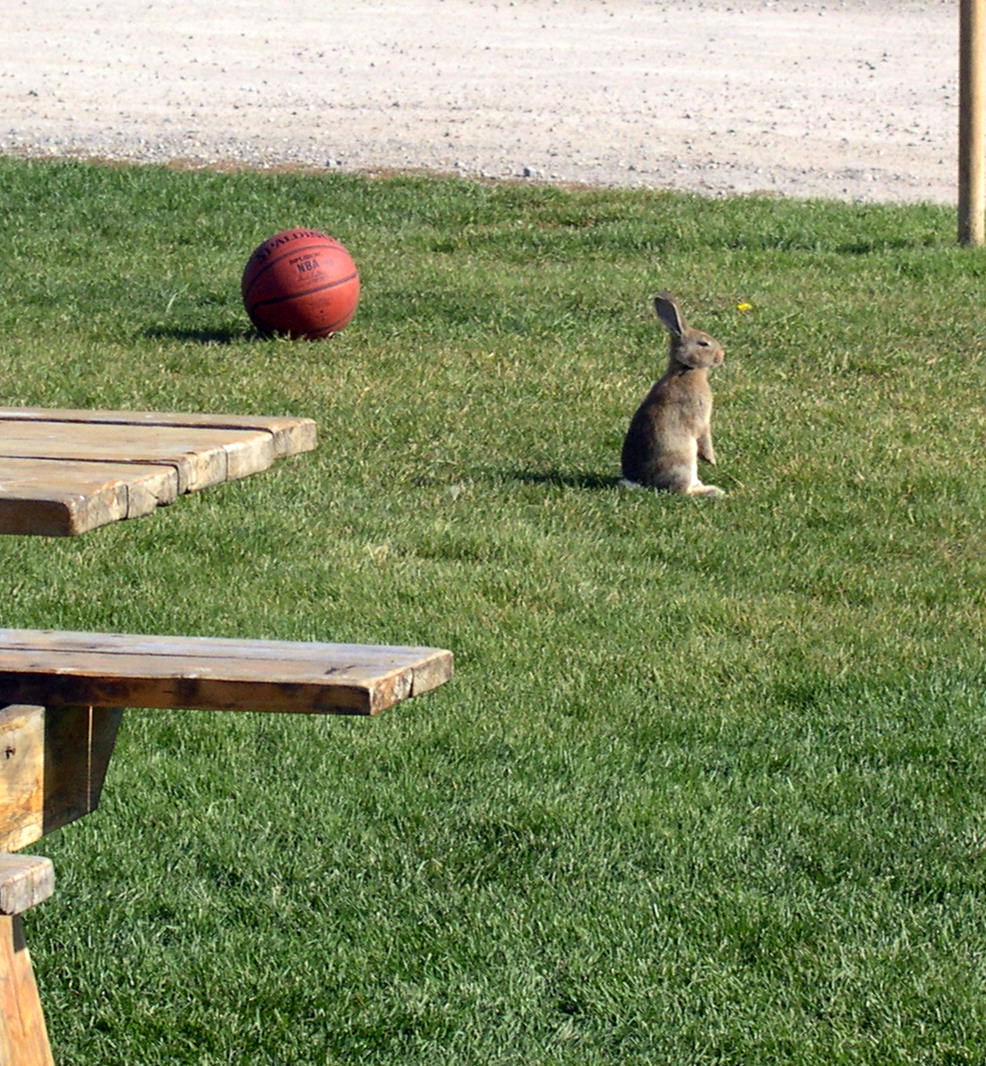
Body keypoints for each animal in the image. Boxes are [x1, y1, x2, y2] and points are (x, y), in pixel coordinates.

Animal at [620, 293, 725, 497]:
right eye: (703, 343)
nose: (721, 355)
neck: (686, 369)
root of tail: (645, 483)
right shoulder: (700, 416)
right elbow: (704, 436)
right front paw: (711, 459)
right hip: (683, 461)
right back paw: (713, 491)